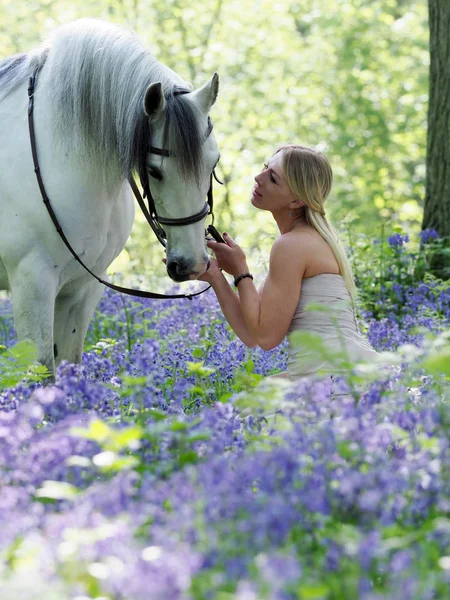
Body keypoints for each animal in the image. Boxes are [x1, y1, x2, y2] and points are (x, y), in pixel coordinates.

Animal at [0, 17, 220, 376]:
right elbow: (42, 370)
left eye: (213, 163)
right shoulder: (32, 285)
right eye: (154, 170)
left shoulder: (82, 288)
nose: (192, 264)